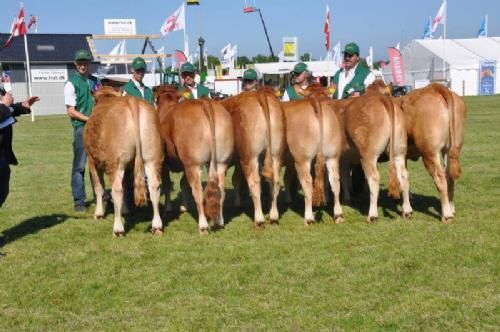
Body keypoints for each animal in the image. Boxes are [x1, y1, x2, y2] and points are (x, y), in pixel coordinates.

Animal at [84, 86, 164, 236]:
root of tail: (132, 101)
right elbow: (126, 185)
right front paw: (125, 210)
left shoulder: (91, 161)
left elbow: (99, 187)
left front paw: (99, 213)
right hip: (152, 158)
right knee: (154, 186)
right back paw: (156, 226)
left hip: (115, 163)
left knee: (116, 189)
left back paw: (118, 228)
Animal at [156, 85, 234, 233]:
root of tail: (205, 102)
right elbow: (182, 183)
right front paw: (184, 207)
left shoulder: (165, 162)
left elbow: (168, 184)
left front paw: (168, 209)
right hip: (221, 162)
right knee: (220, 190)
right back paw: (220, 221)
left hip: (193, 164)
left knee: (198, 191)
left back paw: (203, 226)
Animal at [222, 87, 286, 227]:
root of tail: (260, 94)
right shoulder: (238, 160)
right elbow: (236, 179)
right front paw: (237, 203)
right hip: (276, 154)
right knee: (275, 181)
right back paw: (273, 216)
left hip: (250, 157)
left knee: (254, 183)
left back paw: (259, 219)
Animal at [368, 80, 464, 223]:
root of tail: (434, 88)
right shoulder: (402, 155)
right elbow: (404, 177)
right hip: (451, 149)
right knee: (449, 176)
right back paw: (451, 209)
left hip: (429, 152)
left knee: (440, 177)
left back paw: (446, 215)